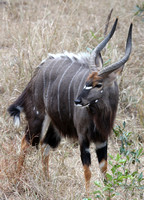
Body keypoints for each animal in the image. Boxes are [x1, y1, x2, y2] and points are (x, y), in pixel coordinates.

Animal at [7, 19, 132, 192]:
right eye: (87, 81)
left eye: (98, 84)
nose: (77, 101)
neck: (99, 115)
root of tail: (38, 72)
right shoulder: (83, 137)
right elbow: (87, 170)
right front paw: (87, 194)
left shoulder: (102, 139)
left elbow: (104, 169)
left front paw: (106, 193)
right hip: (38, 119)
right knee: (26, 142)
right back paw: (18, 180)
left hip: (55, 126)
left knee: (44, 146)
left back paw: (47, 182)